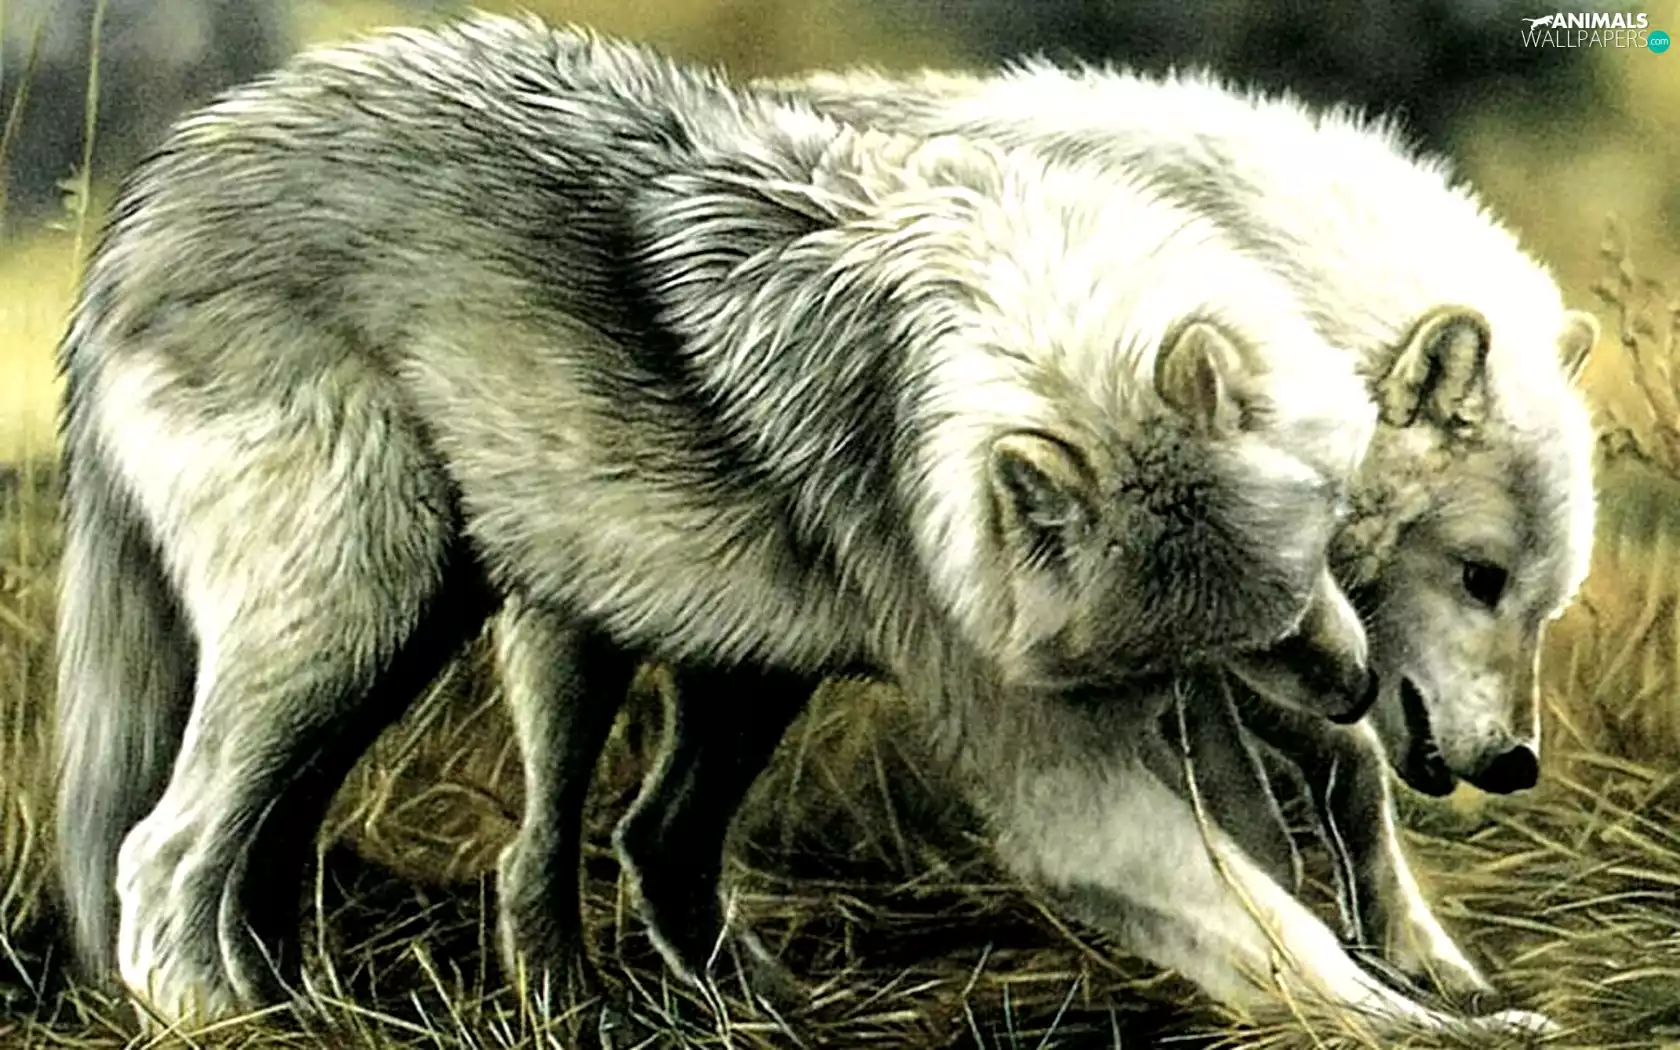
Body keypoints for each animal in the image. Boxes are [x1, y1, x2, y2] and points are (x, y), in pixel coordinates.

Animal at [52, 15, 1382, 1031]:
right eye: (1254, 630)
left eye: (1305, 571)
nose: (1360, 690)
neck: (1003, 330)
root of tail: (153, 200)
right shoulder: (1058, 768)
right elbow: (1264, 921)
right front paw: (1397, 1015)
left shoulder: (1163, 698)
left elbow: (1269, 872)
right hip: (357, 621)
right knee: (161, 849)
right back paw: (226, 1020)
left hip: (492, 646)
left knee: (599, 841)